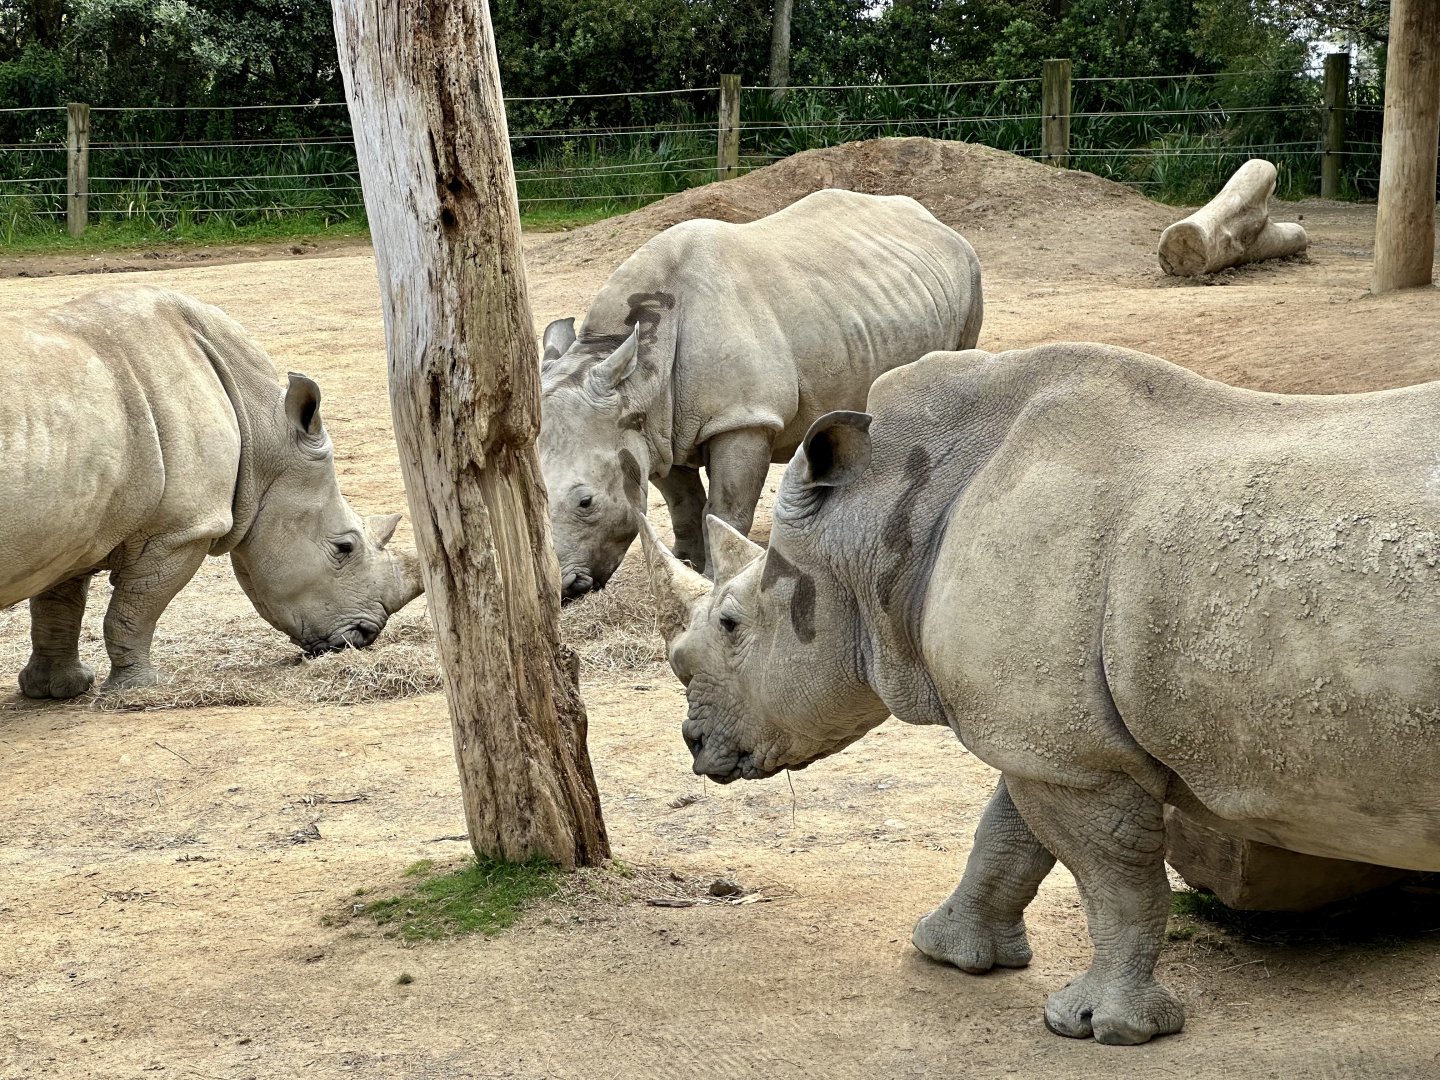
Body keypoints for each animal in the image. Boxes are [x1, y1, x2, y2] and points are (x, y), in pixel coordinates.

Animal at [1, 286, 425, 698]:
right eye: (344, 548)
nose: (366, 636)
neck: (261, 426)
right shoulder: (181, 530)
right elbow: (134, 611)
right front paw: (138, 689)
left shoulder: (77, 518)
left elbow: (59, 604)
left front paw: (56, 689)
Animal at [539, 187, 982, 600]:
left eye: (586, 502)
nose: (565, 589)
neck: (634, 375)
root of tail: (932, 219)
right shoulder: (655, 428)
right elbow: (683, 504)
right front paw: (684, 566)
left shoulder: (743, 418)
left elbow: (725, 510)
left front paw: (715, 579)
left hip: (971, 268)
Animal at [640, 342, 1440, 1044]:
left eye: (732, 624)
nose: (692, 742)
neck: (880, 521)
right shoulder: (1046, 738)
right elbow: (1007, 834)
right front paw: (946, 951)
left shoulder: (1067, 757)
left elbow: (1113, 879)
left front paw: (1099, 1027)